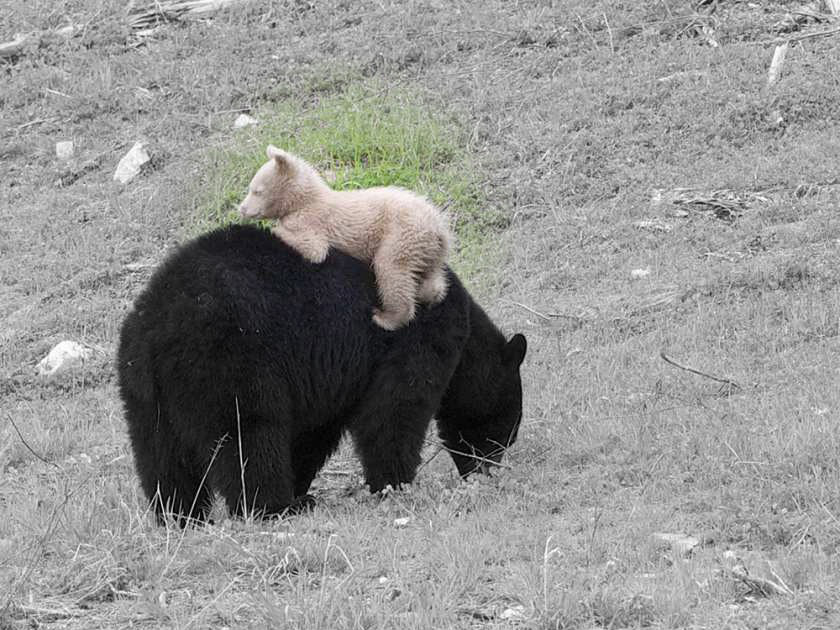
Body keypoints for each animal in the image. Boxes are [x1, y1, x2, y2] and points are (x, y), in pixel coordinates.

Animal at [116, 225, 524, 524]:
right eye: (506, 429)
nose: (489, 469)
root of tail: (159, 326)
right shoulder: (413, 341)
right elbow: (393, 412)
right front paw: (396, 484)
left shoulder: (328, 381)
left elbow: (312, 434)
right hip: (229, 363)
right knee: (249, 436)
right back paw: (274, 508)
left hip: (143, 390)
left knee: (161, 455)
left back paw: (179, 516)